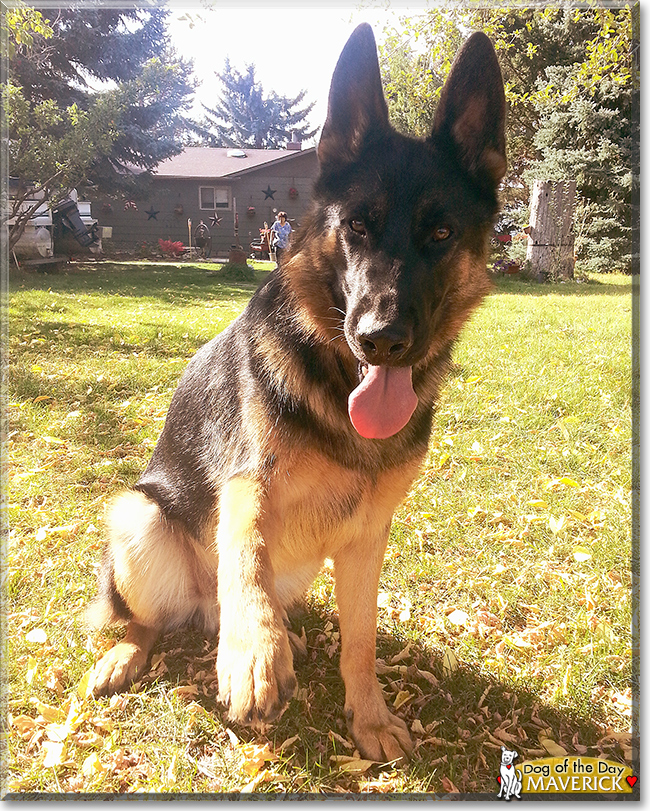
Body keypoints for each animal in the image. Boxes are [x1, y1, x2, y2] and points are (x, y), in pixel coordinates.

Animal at [87, 23, 506, 760]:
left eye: (441, 233)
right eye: (357, 226)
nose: (381, 339)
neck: (337, 385)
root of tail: (201, 612)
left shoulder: (367, 537)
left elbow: (361, 640)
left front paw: (368, 716)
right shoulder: (249, 482)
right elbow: (248, 552)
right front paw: (253, 653)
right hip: (137, 515)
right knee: (151, 619)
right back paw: (144, 652)